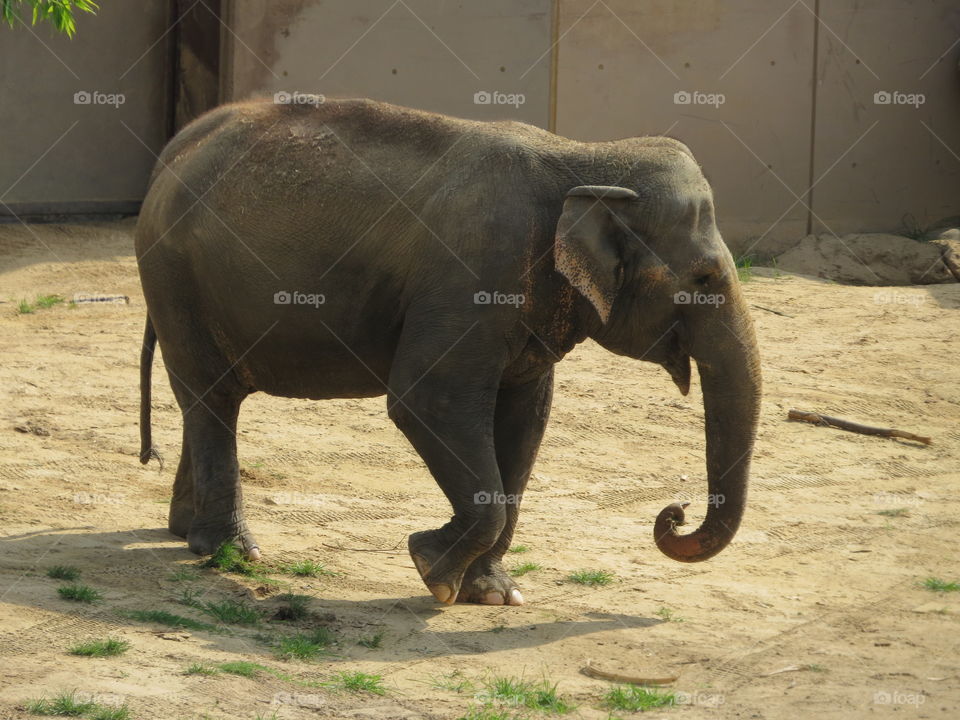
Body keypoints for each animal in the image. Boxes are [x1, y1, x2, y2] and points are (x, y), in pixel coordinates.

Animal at [137, 94, 764, 600]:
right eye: (706, 278)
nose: (674, 513)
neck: (584, 158)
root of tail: (172, 150)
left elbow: (525, 419)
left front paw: (490, 594)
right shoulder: (473, 276)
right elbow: (427, 401)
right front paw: (432, 569)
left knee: (208, 400)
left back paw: (184, 533)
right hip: (174, 278)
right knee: (212, 396)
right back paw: (231, 553)